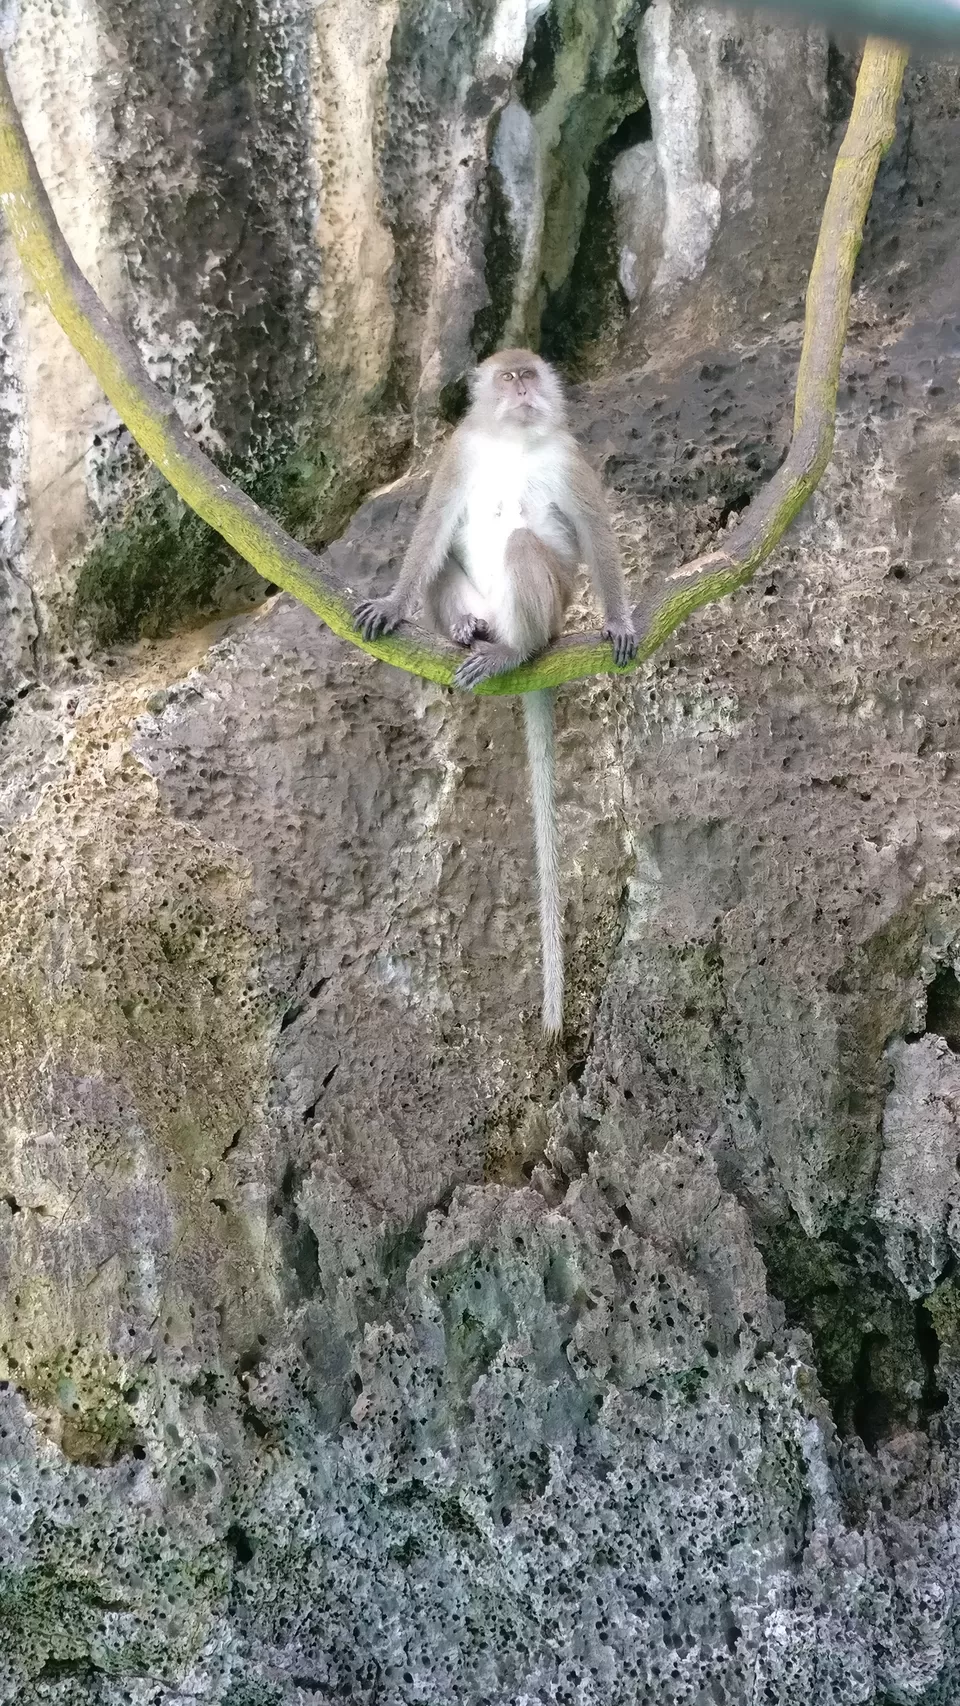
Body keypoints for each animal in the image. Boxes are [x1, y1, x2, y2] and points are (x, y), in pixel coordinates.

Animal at [354, 348, 637, 1037]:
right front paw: (393, 604)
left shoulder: (567, 454)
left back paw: (514, 652)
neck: (513, 442)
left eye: (530, 375)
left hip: (550, 608)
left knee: (523, 546)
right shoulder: (460, 452)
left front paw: (618, 619)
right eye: (509, 379)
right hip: (476, 605)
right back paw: (464, 632)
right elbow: (432, 530)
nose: (524, 390)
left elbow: (593, 531)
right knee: (443, 567)